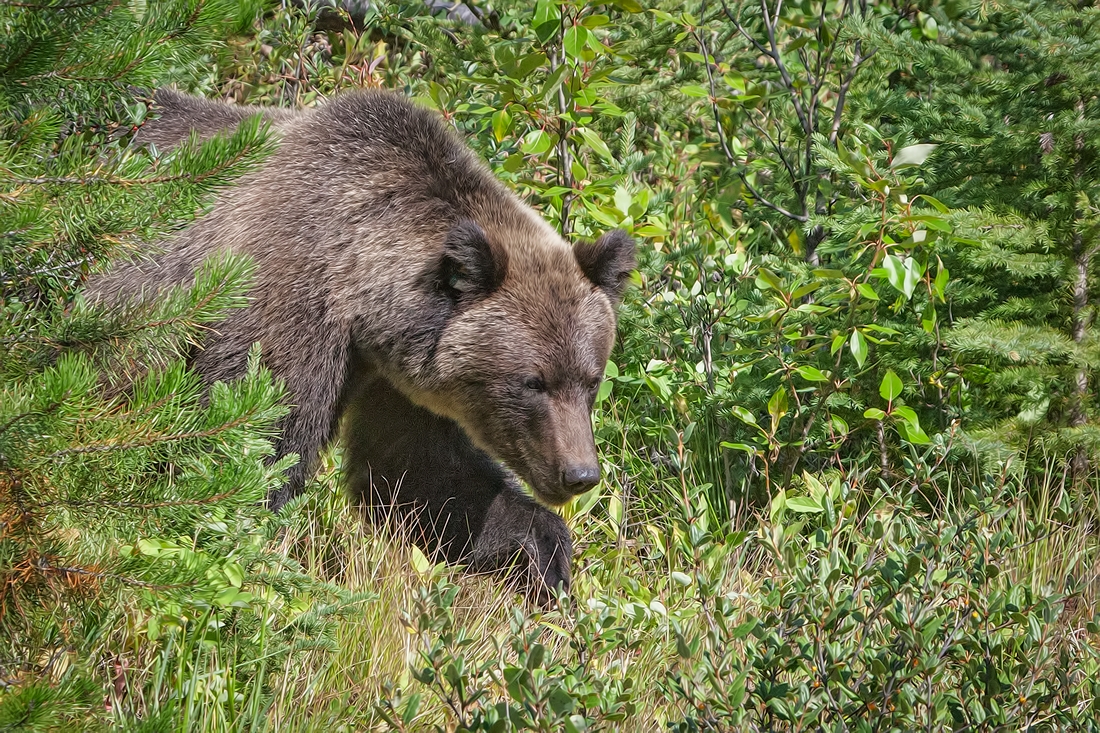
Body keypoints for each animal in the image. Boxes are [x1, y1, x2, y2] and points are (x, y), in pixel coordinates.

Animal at [88, 89, 638, 594]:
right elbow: (256, 435)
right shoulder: (287, 307)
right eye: (531, 382)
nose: (579, 474)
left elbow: (420, 476)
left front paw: (545, 558)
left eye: (590, 380)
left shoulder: (400, 380)